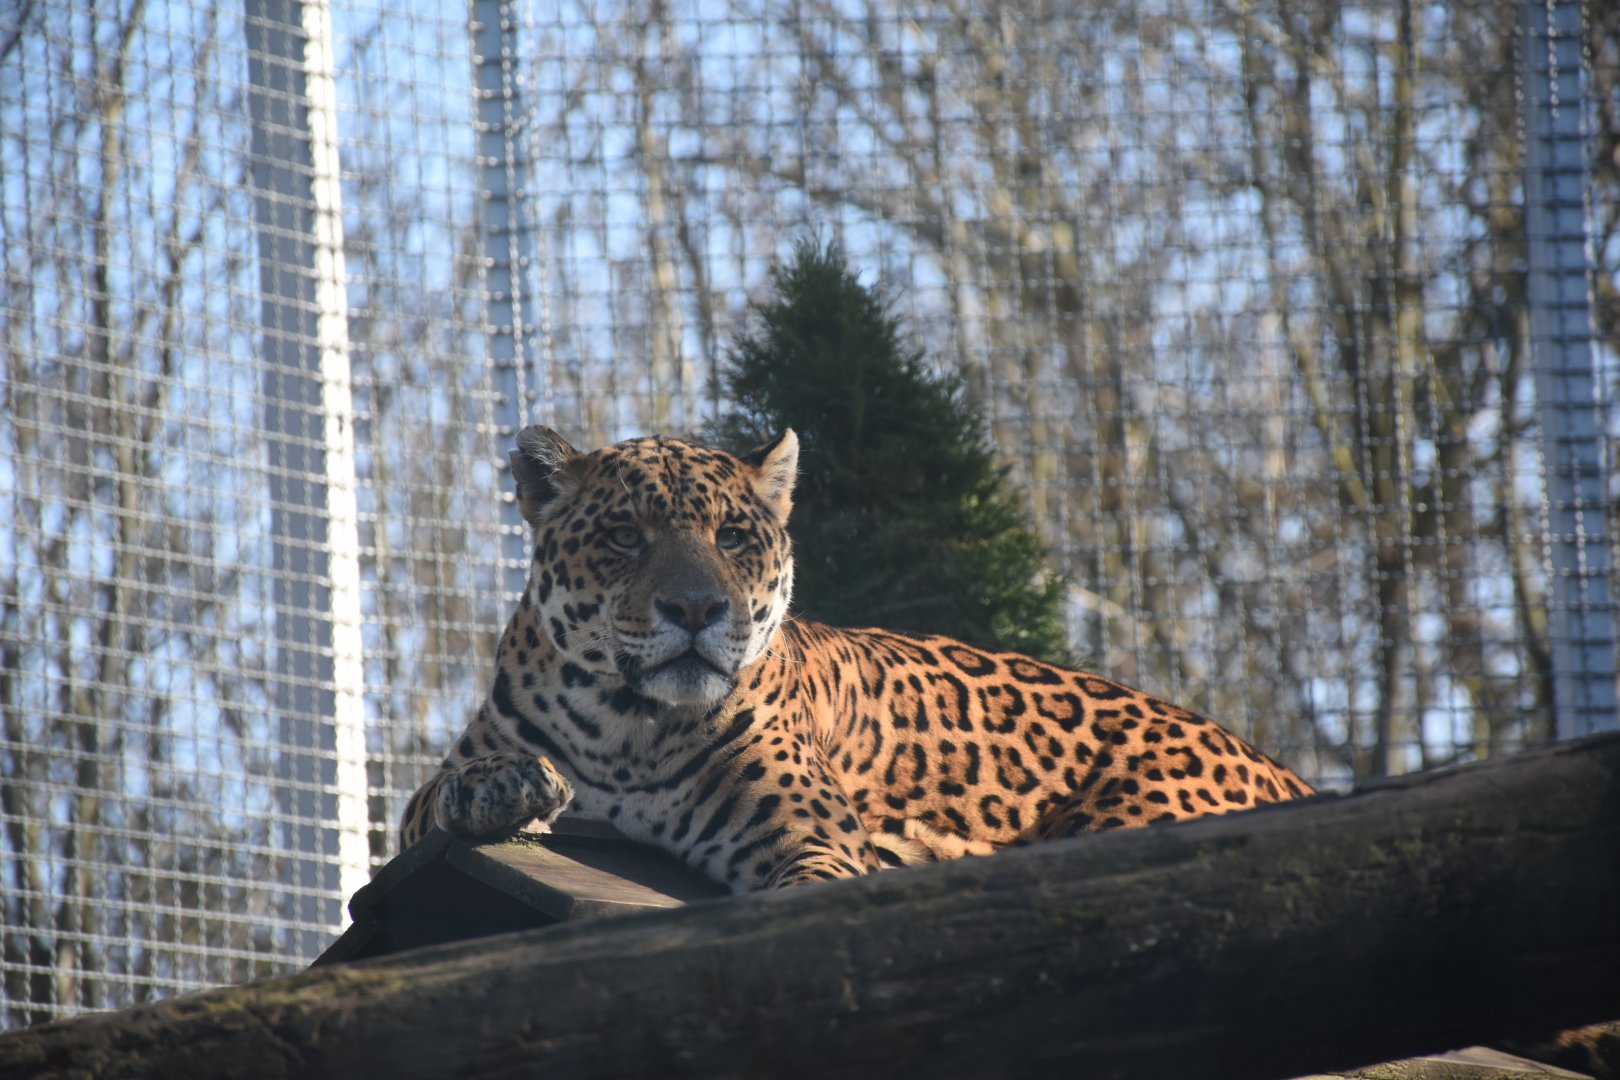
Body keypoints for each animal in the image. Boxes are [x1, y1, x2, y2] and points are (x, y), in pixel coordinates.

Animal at [400, 427, 1313, 891]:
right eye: (625, 534)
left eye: (733, 535)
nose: (696, 609)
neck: (627, 728)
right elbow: (430, 801)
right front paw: (497, 786)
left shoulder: (812, 841)